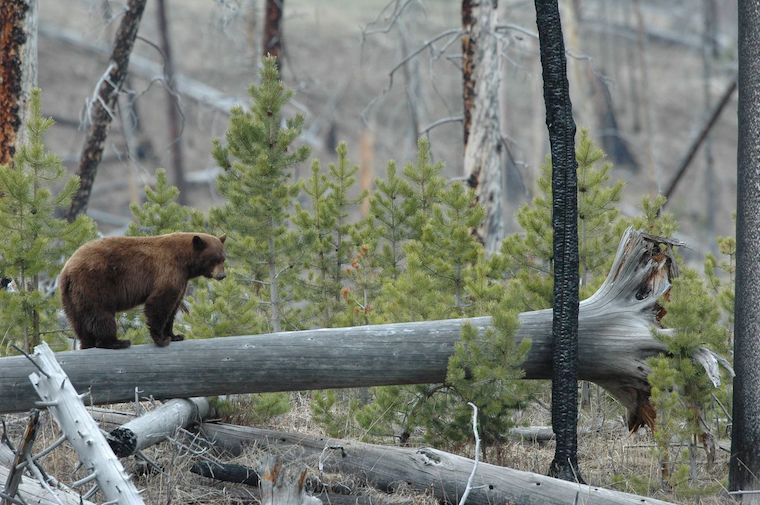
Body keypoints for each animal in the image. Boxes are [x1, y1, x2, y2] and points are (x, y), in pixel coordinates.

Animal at [59, 232, 227, 350]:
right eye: (214, 259)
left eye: (223, 258)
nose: (222, 275)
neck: (184, 261)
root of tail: (68, 271)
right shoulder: (168, 270)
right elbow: (159, 303)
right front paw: (161, 339)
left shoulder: (181, 279)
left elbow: (173, 307)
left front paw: (175, 335)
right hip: (95, 284)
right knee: (101, 314)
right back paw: (116, 342)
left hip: (71, 296)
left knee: (78, 321)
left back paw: (87, 343)